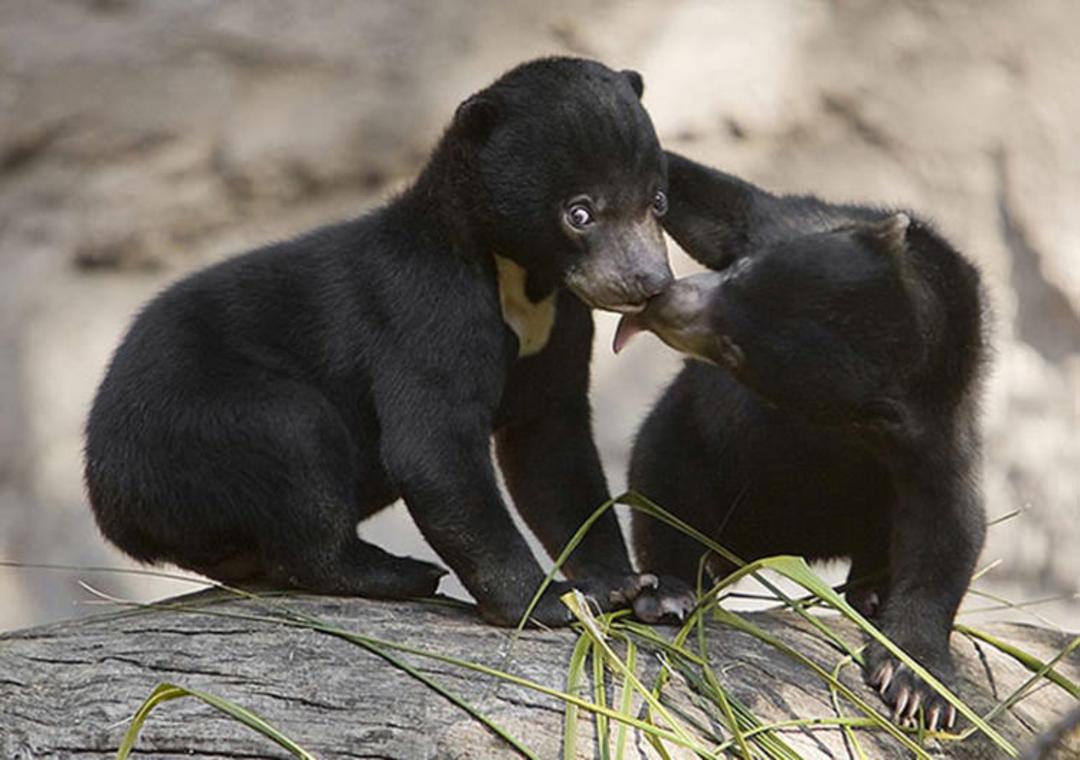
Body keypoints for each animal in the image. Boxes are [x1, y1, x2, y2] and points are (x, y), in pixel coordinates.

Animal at [84, 57, 696, 628]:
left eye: (658, 201)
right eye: (579, 213)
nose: (648, 282)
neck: (521, 281)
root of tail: (108, 495)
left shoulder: (560, 325)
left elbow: (552, 451)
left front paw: (633, 586)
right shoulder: (429, 312)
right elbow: (432, 450)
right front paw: (549, 603)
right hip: (189, 427)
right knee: (295, 438)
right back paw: (399, 572)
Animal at [616, 151, 988, 729]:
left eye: (735, 351)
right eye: (739, 271)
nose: (662, 302)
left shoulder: (937, 430)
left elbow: (949, 529)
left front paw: (916, 684)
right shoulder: (797, 222)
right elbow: (724, 205)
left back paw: (869, 594)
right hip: (695, 443)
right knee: (662, 483)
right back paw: (668, 591)